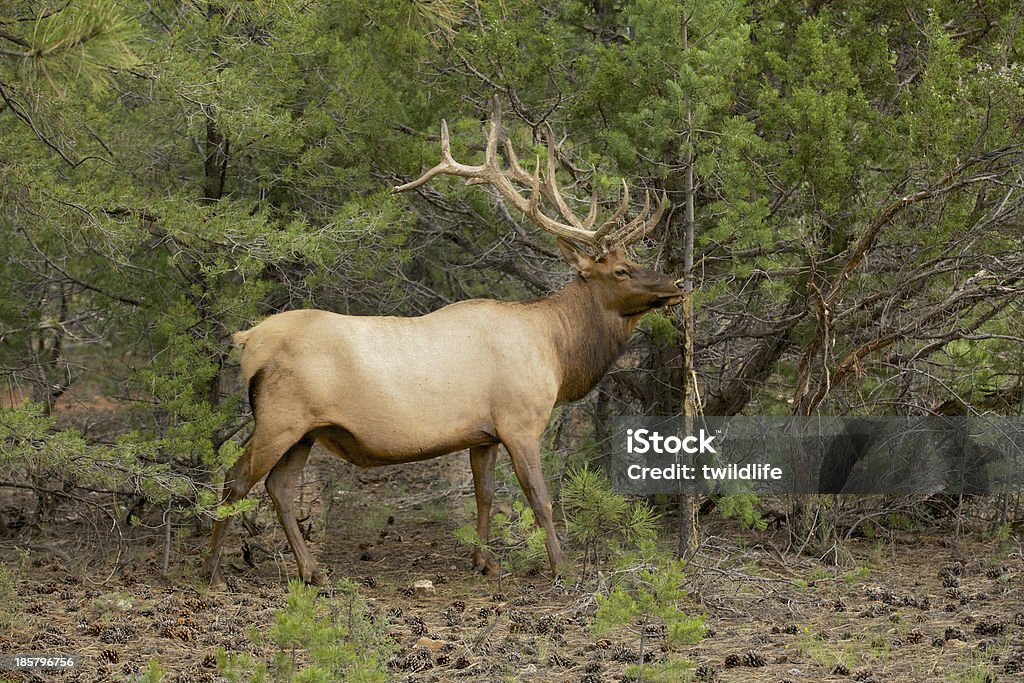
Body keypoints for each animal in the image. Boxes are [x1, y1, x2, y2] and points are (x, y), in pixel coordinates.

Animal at [200, 100, 684, 589]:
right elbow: (539, 498)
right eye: (620, 270)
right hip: (279, 417)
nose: (676, 283)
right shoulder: (520, 420)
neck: (557, 351)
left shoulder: (484, 433)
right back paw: (212, 572)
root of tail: (247, 340)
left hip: (307, 430)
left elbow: (484, 494)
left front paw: (484, 562)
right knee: (235, 479)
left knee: (277, 486)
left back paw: (313, 571)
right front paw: (561, 568)